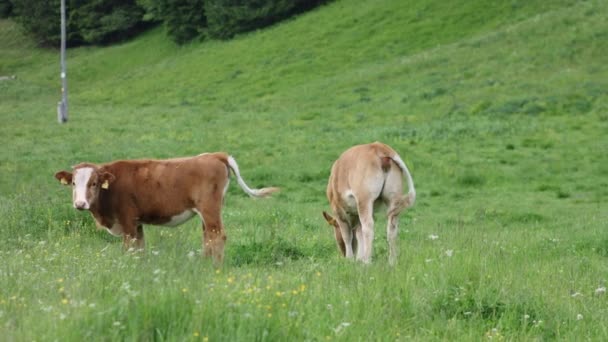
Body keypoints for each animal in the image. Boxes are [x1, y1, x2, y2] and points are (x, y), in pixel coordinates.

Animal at [54, 153, 278, 264]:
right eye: (73, 183)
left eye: (93, 183)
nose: (80, 204)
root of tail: (215, 154)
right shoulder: (137, 224)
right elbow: (140, 249)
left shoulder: (128, 223)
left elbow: (129, 250)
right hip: (208, 212)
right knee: (208, 236)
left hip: (210, 209)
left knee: (218, 236)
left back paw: (216, 268)